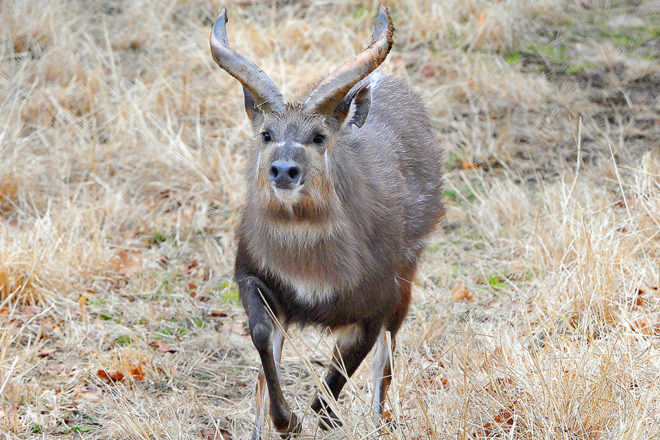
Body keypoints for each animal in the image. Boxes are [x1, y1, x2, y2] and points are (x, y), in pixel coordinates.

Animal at [210, 5, 444, 438]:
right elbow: (263, 342)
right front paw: (288, 421)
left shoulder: (376, 302)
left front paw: (319, 420)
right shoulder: (253, 275)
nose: (284, 170)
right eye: (266, 133)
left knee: (385, 360)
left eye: (318, 136)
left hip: (407, 275)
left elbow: (331, 392)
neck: (312, 274)